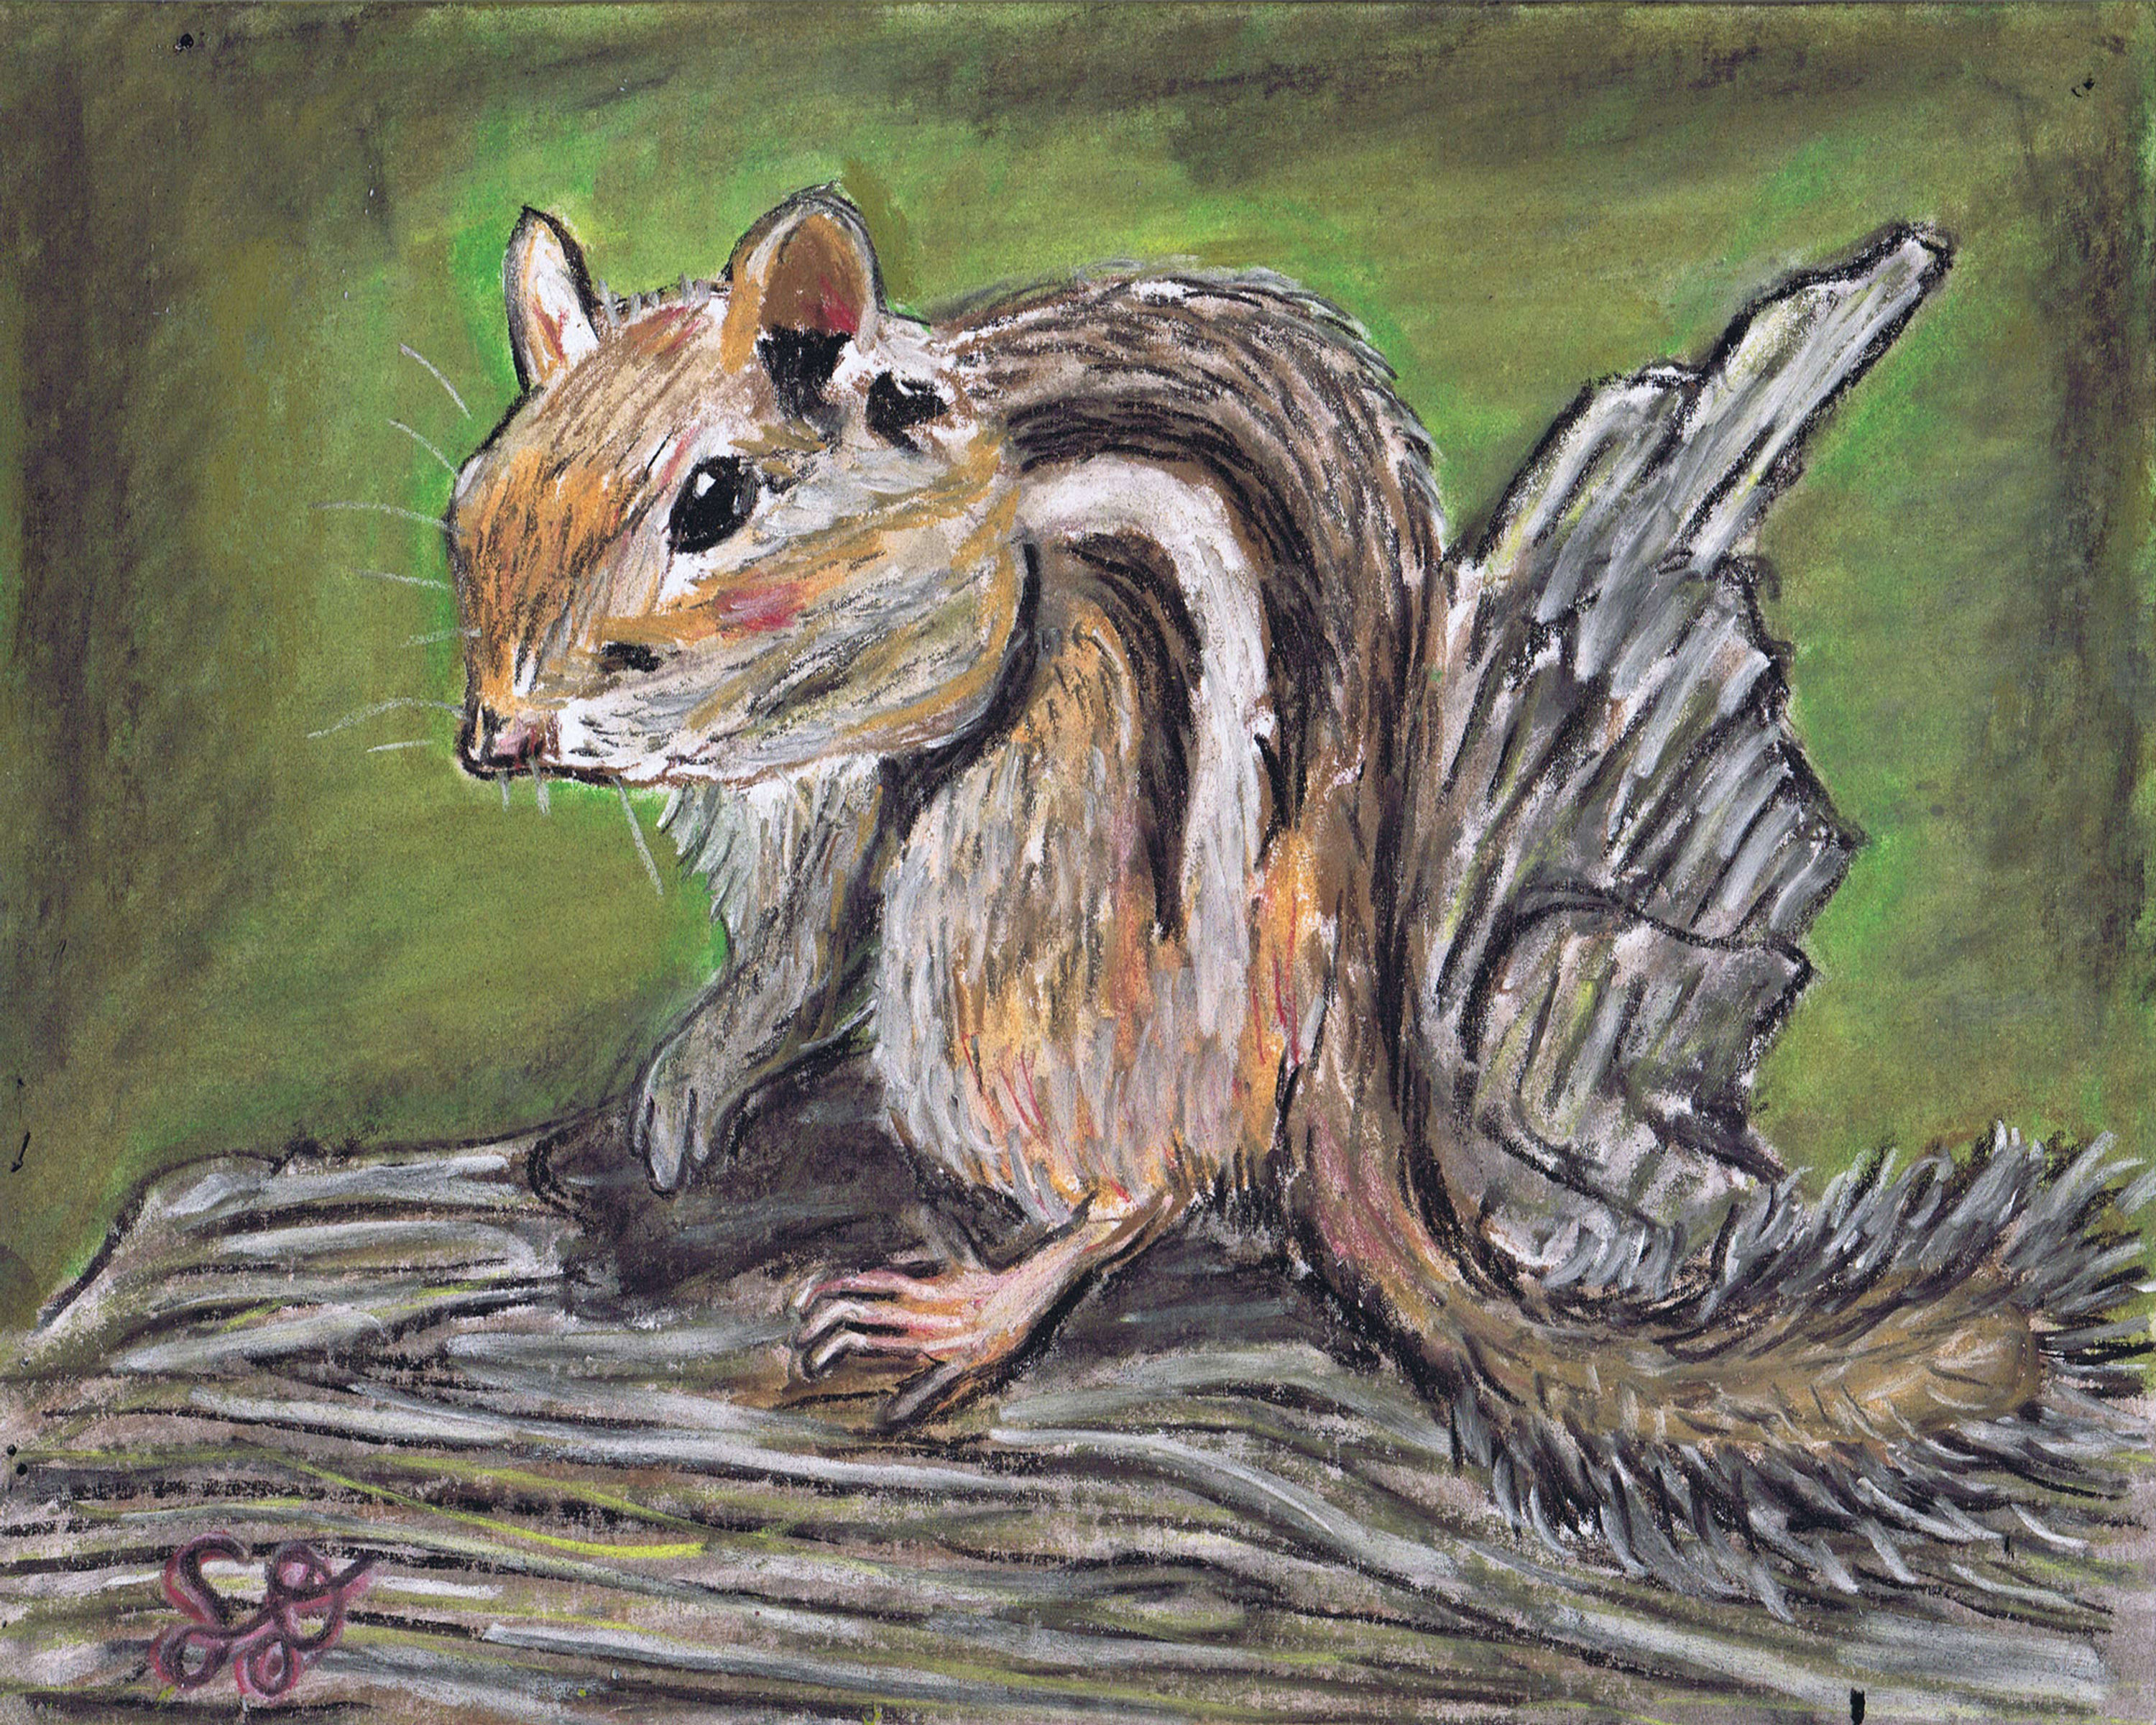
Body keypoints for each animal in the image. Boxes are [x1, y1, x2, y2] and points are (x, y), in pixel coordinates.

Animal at [447, 187, 2147, 1604]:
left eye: (714, 499)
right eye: (475, 497)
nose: (494, 737)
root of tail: (1333, 1015)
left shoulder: (918, 706)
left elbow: (825, 922)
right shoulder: (795, 814)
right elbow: (777, 956)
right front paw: (687, 1083)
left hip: (1004, 940)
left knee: (1161, 1175)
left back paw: (985, 1308)